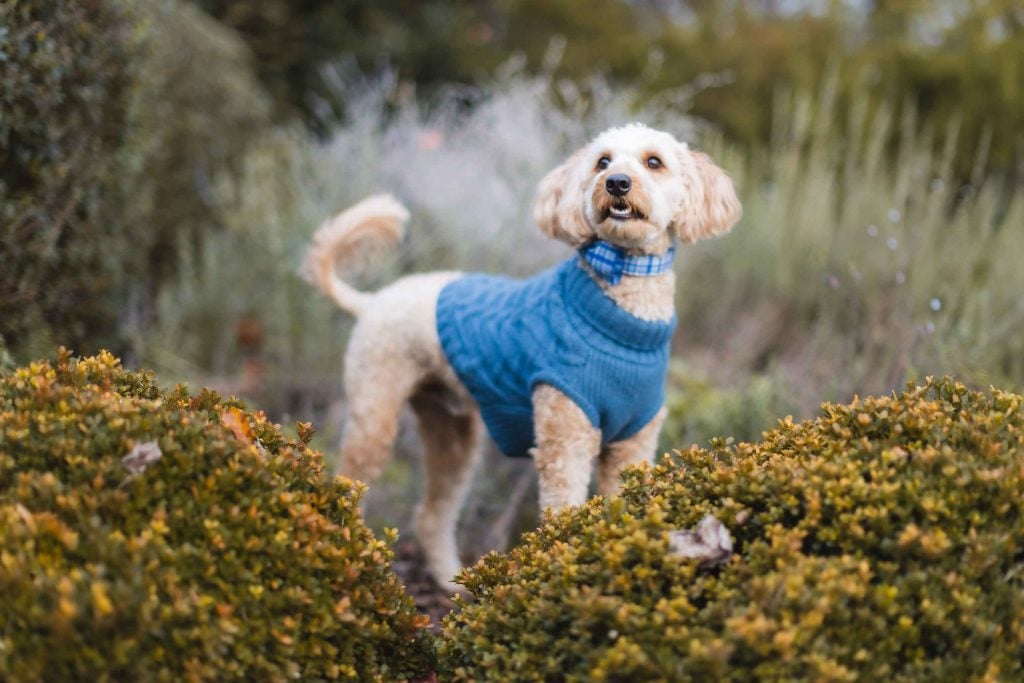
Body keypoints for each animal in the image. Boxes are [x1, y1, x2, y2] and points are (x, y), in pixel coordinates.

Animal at [303, 124, 745, 593]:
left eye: (654, 162)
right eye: (602, 162)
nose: (616, 183)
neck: (622, 310)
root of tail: (371, 301)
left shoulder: (633, 448)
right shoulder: (564, 440)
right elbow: (563, 513)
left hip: (452, 433)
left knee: (431, 514)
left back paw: (452, 583)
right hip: (375, 413)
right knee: (350, 491)